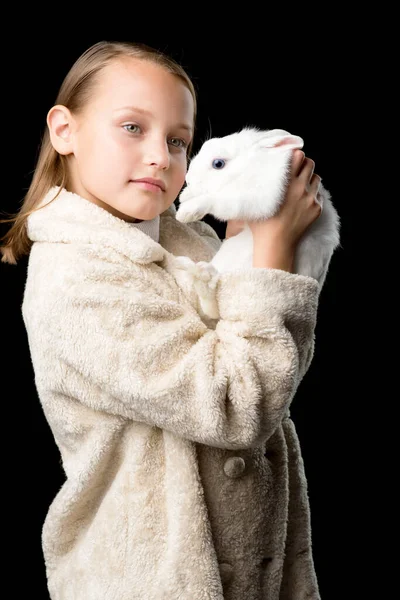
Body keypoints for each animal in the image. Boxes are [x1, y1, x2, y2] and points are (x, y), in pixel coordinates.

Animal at [172, 127, 340, 324]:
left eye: (218, 164)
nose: (188, 179)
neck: (248, 168)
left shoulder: (254, 198)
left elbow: (215, 199)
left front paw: (185, 213)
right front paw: (185, 195)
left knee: (214, 309)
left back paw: (202, 274)